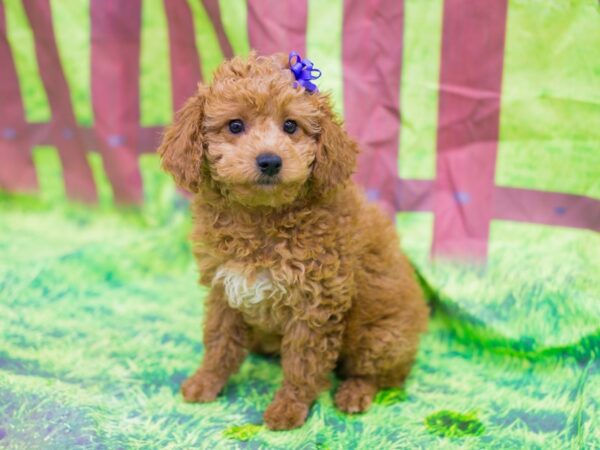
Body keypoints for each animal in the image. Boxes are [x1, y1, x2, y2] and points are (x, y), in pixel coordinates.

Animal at [157, 51, 428, 430]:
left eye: (290, 126)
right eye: (235, 126)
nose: (270, 161)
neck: (261, 217)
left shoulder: (316, 303)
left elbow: (303, 363)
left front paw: (288, 410)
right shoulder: (225, 290)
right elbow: (219, 341)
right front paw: (205, 382)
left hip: (379, 337)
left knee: (381, 375)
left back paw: (354, 393)